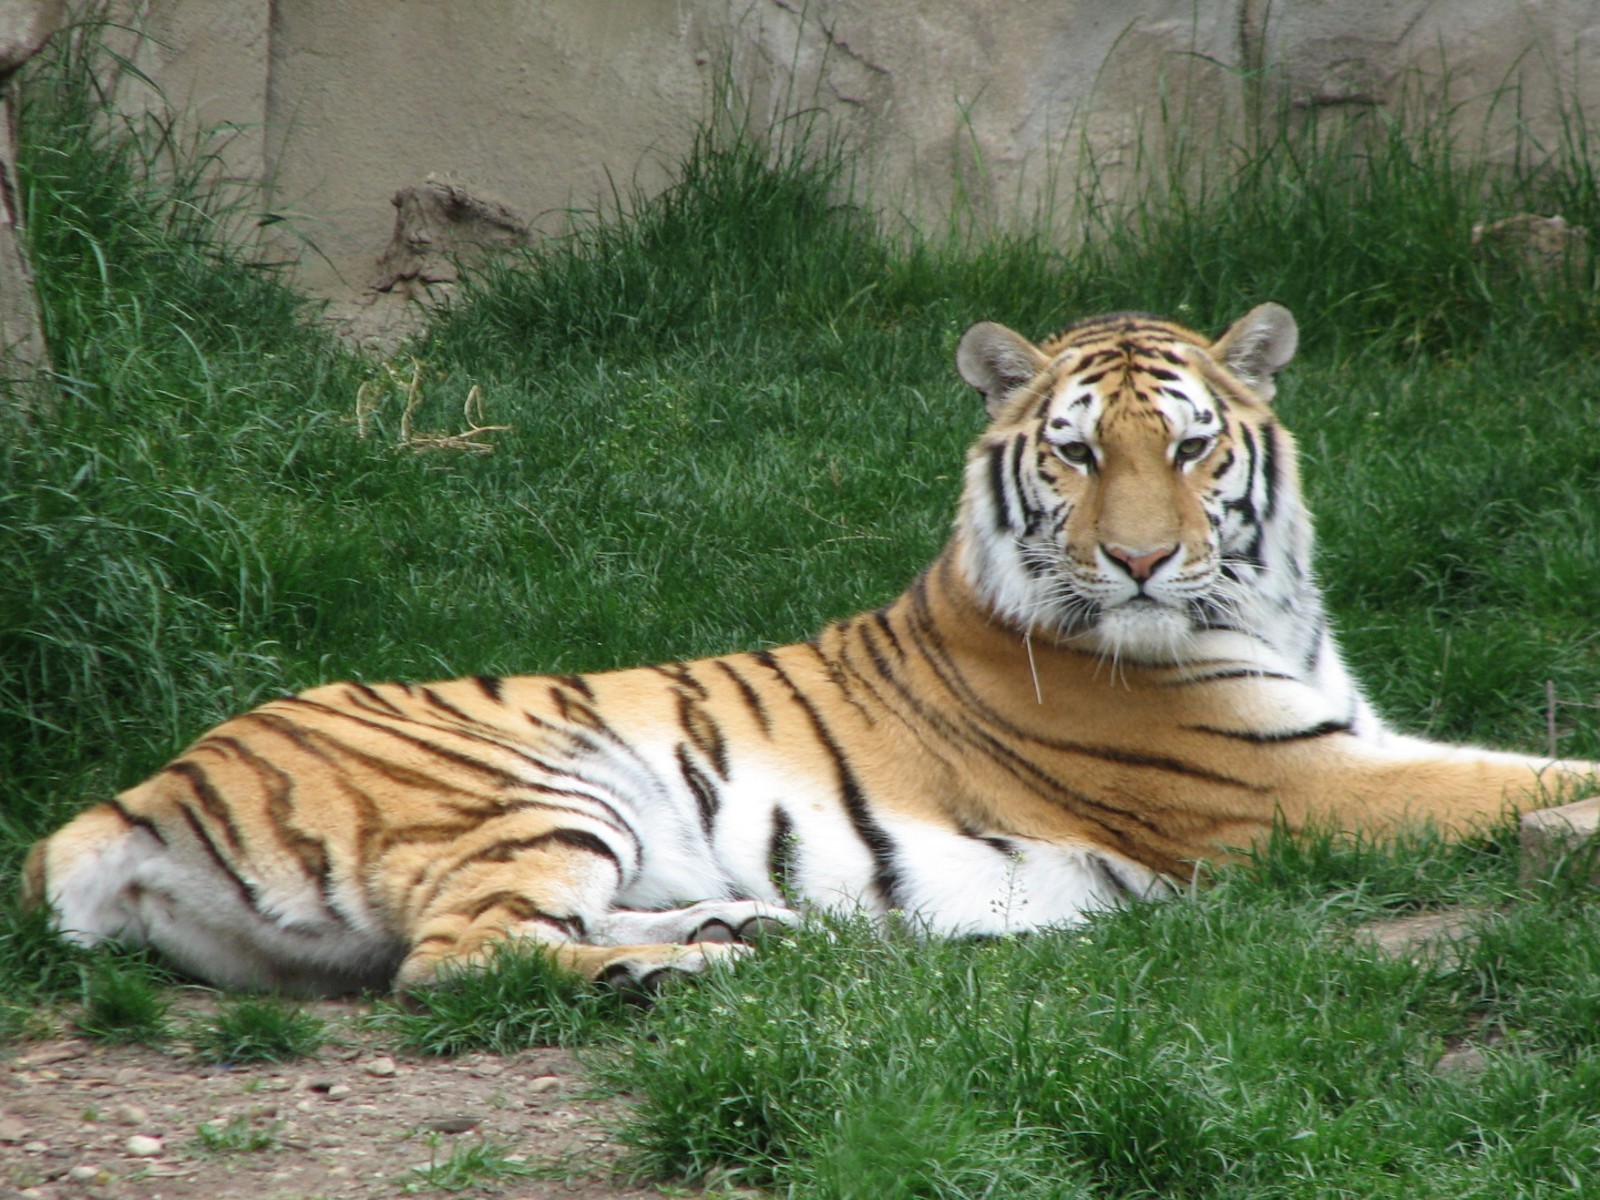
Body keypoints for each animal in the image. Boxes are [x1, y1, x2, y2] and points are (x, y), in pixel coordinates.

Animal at [24, 303, 1599, 997]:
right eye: (1081, 455)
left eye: (1194, 450)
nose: (1144, 560)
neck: (1263, 605)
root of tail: (129, 794)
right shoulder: (1298, 791)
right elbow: (1522, 778)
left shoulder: (1346, 745)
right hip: (543, 779)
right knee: (455, 963)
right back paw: (680, 977)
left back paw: (737, 929)